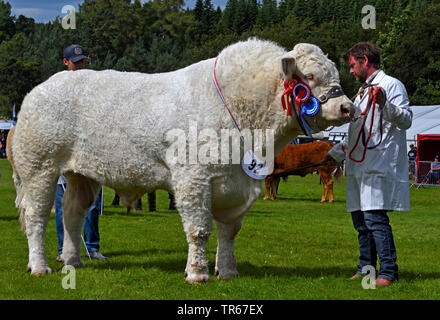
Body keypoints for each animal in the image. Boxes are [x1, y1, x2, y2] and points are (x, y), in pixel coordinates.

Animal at [12, 38, 354, 284]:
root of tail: (39, 90)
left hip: (82, 174)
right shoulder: (194, 179)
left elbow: (230, 232)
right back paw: (40, 266)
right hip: (40, 168)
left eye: (336, 74)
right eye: (309, 77)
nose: (348, 108)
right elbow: (199, 230)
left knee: (72, 214)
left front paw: (227, 272)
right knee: (37, 217)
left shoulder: (237, 184)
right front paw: (198, 273)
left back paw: (73, 261)